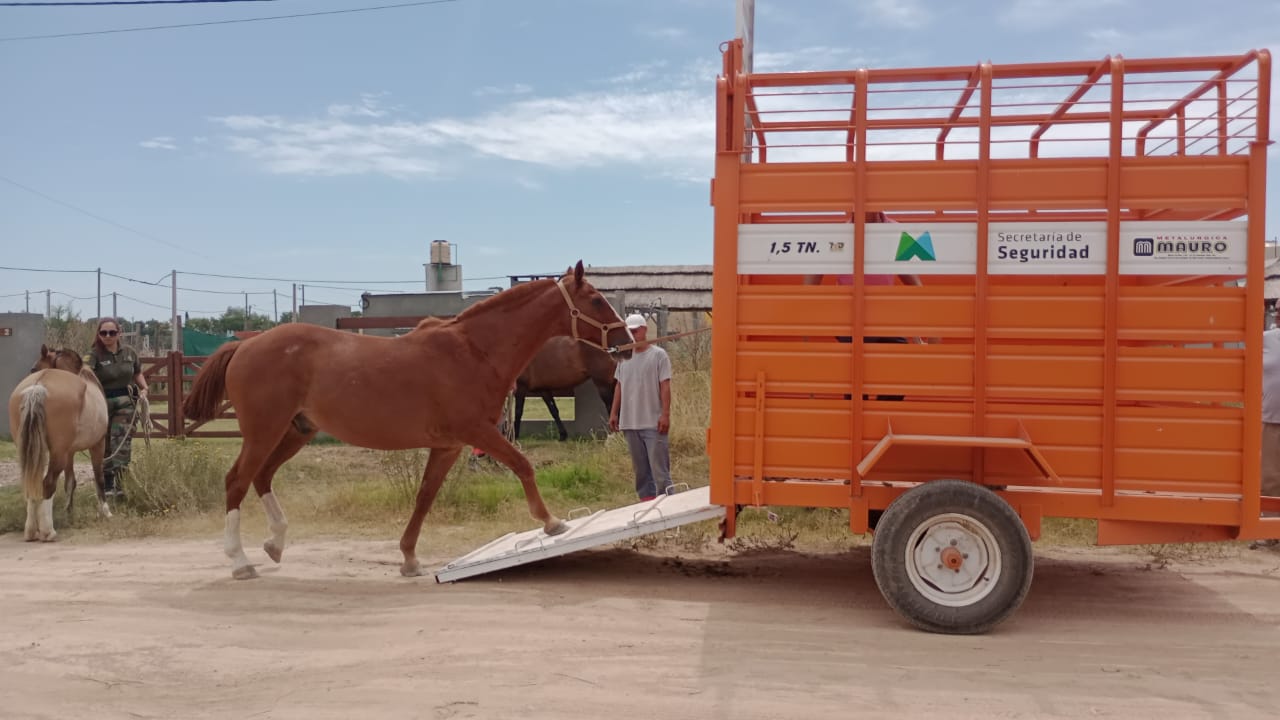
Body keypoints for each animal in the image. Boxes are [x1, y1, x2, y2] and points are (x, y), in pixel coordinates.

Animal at [9, 345, 112, 541]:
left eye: (33, 368)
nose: (32, 371)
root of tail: (39, 385)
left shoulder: (69, 453)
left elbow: (70, 482)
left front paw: (68, 512)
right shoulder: (97, 444)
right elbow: (99, 478)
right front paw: (105, 511)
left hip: (34, 451)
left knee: (33, 483)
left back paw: (31, 530)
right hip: (58, 453)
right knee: (48, 484)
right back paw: (48, 531)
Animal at [182, 261, 634, 580]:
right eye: (596, 300)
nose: (627, 342)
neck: (474, 351)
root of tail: (246, 345)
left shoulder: (448, 445)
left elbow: (424, 497)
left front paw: (409, 558)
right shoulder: (477, 431)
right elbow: (523, 464)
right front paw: (553, 523)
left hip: (296, 431)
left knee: (262, 477)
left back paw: (275, 544)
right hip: (264, 430)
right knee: (237, 481)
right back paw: (240, 562)